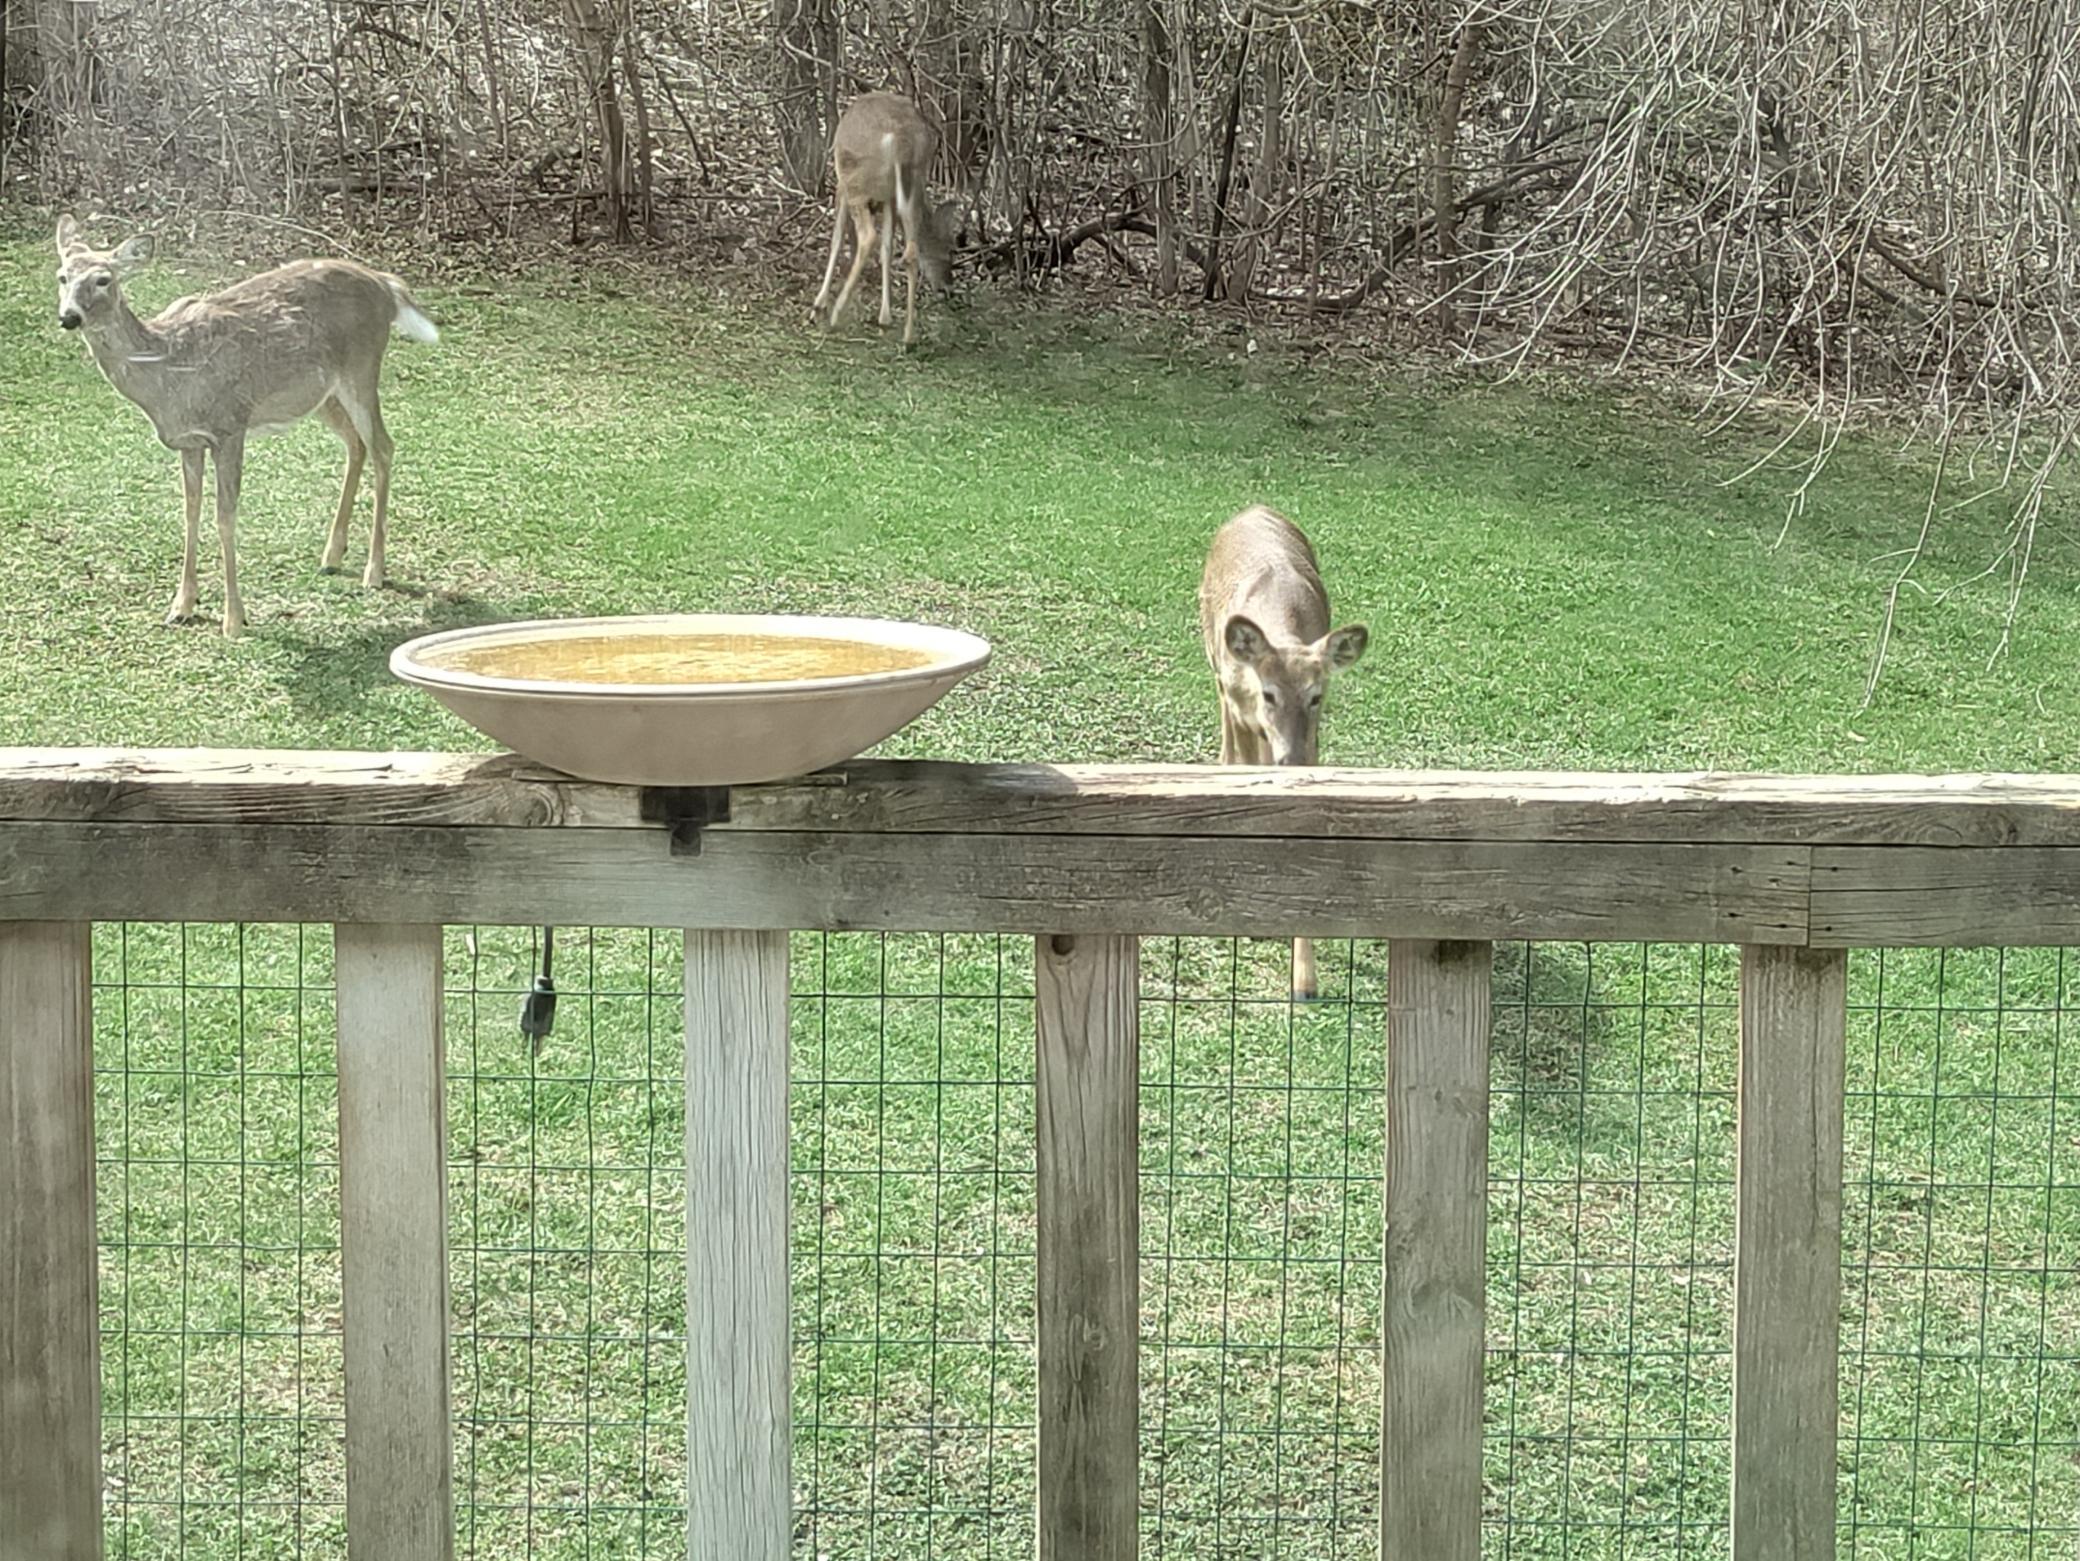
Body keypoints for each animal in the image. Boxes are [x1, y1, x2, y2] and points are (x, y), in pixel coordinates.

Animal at [53, 214, 439, 639]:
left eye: (104, 279)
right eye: (62, 276)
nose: (69, 317)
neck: (169, 372)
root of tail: (386, 284)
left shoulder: (230, 426)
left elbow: (225, 517)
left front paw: (234, 619)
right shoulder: (189, 441)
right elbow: (190, 511)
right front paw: (181, 606)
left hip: (362, 367)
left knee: (384, 445)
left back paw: (374, 570)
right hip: (322, 394)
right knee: (357, 444)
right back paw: (332, 555)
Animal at [812, 93, 962, 347]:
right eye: (949, 253)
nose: (948, 289)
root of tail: (902, 140)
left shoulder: (843, 188)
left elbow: (837, 239)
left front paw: (819, 304)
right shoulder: (888, 200)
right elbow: (888, 248)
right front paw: (886, 315)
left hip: (857, 183)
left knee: (868, 237)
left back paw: (836, 313)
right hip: (910, 184)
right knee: (909, 250)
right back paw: (908, 337)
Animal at [1200, 505, 1370, 1002]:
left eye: (1315, 696)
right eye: (1269, 693)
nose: (1289, 759)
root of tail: (1253, 508)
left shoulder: (1312, 736)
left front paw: (1305, 980)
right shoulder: (1238, 704)